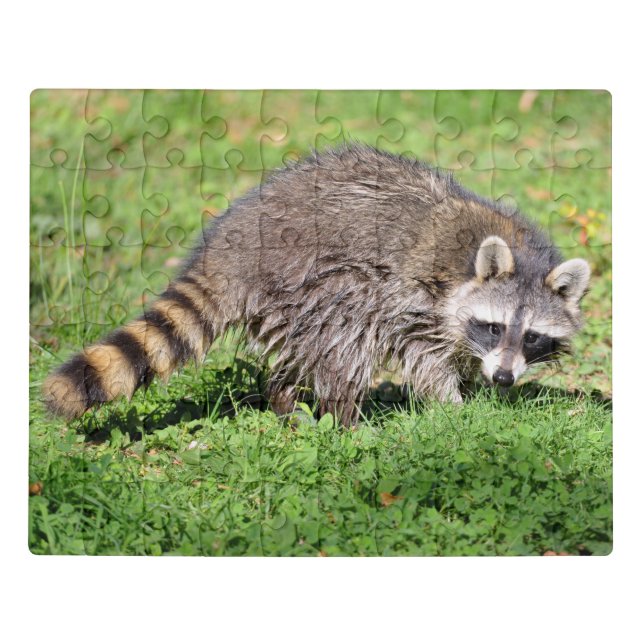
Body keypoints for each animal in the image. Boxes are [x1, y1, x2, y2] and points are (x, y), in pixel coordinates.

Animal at [43, 144, 591, 427]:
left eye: (532, 337)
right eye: (494, 327)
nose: (504, 379)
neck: (518, 255)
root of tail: (229, 249)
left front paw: (481, 386)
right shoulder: (418, 295)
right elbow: (424, 355)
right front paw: (453, 405)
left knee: (306, 347)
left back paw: (285, 398)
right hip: (312, 276)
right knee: (347, 333)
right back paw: (343, 417)